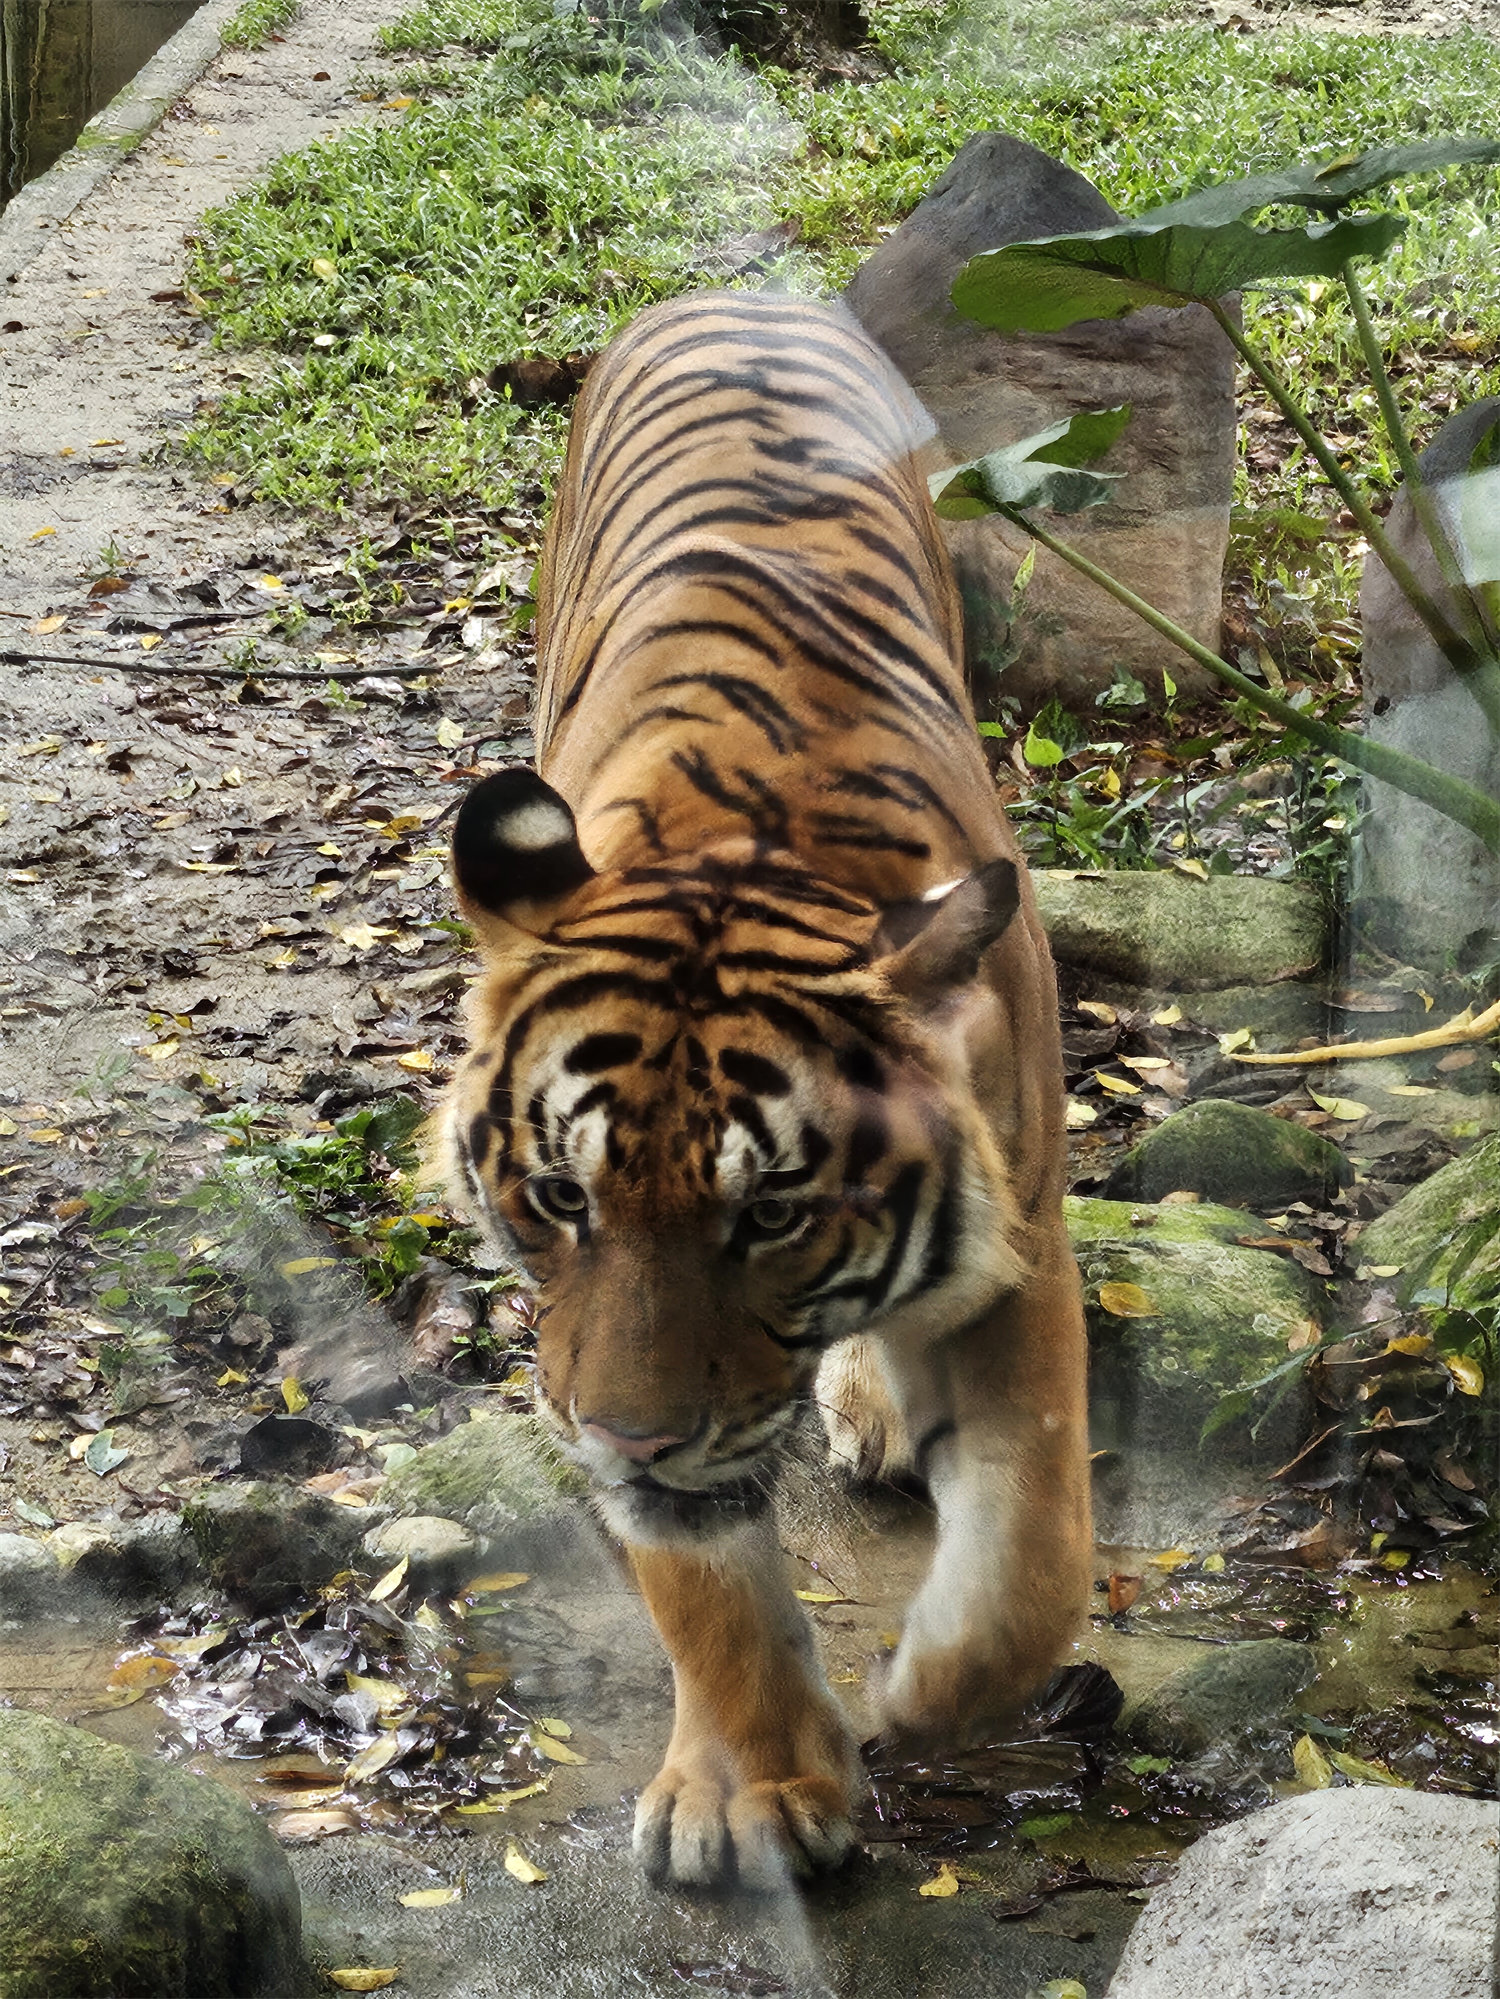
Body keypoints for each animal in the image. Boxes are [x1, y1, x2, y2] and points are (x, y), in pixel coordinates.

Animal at [444, 289, 1096, 1895]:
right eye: (560, 1195)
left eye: (777, 1213)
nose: (628, 1435)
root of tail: (735, 284)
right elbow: (699, 1581)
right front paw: (752, 1787)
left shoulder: (1022, 1237)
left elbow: (1036, 1548)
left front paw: (925, 1691)